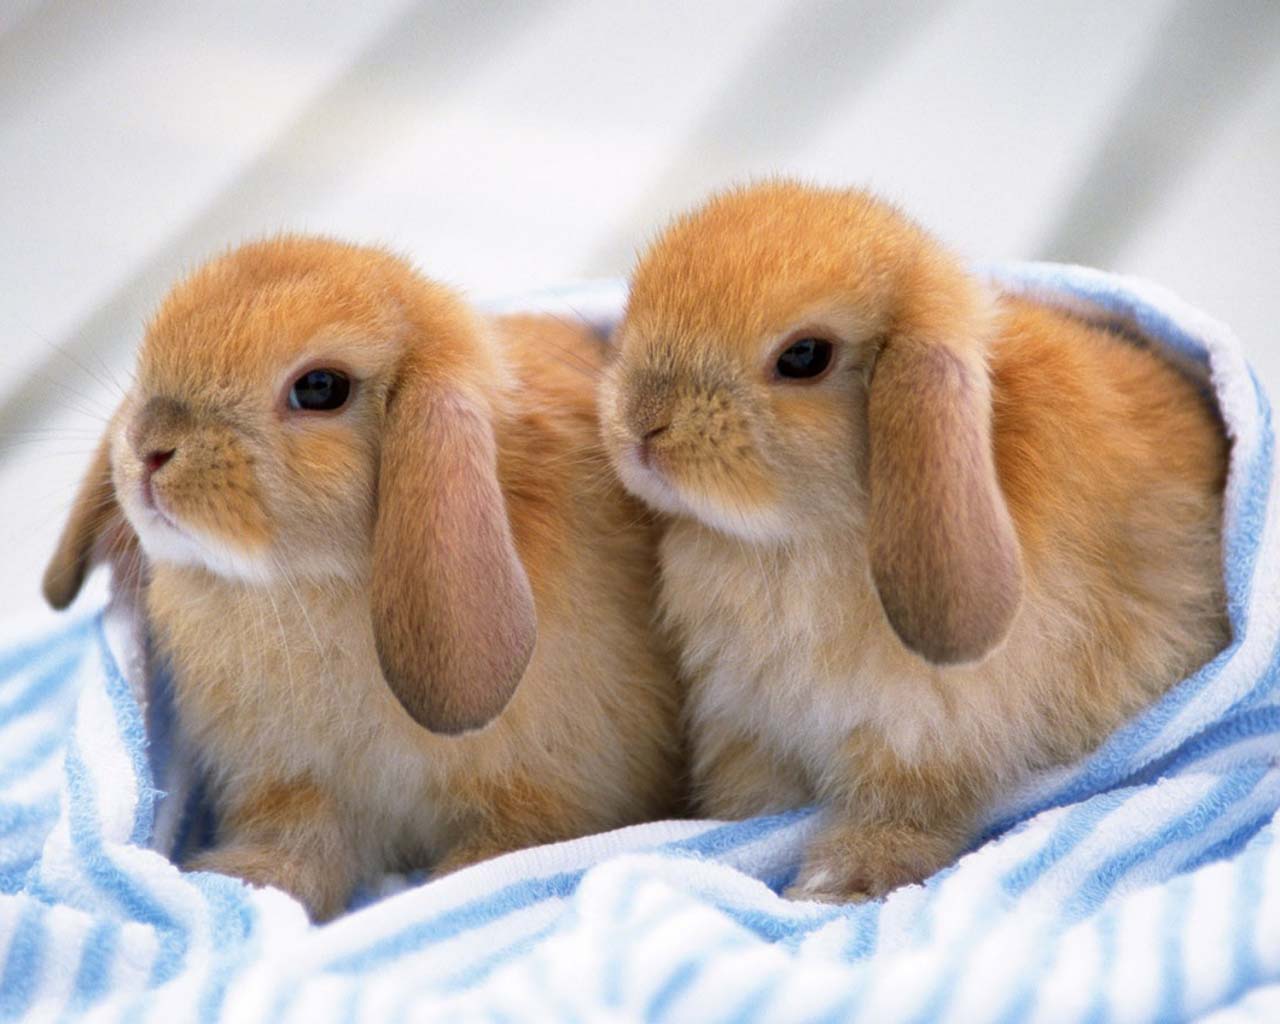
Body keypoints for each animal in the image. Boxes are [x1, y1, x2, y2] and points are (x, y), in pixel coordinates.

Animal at [43, 236, 682, 921]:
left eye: (320, 387)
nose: (150, 449)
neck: (317, 584)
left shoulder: (547, 797)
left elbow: (499, 853)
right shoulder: (298, 790)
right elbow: (301, 852)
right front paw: (238, 877)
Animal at [598, 180, 1229, 902]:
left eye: (804, 357)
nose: (642, 423)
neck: (803, 539)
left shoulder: (921, 737)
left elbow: (905, 813)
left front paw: (838, 881)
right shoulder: (748, 724)